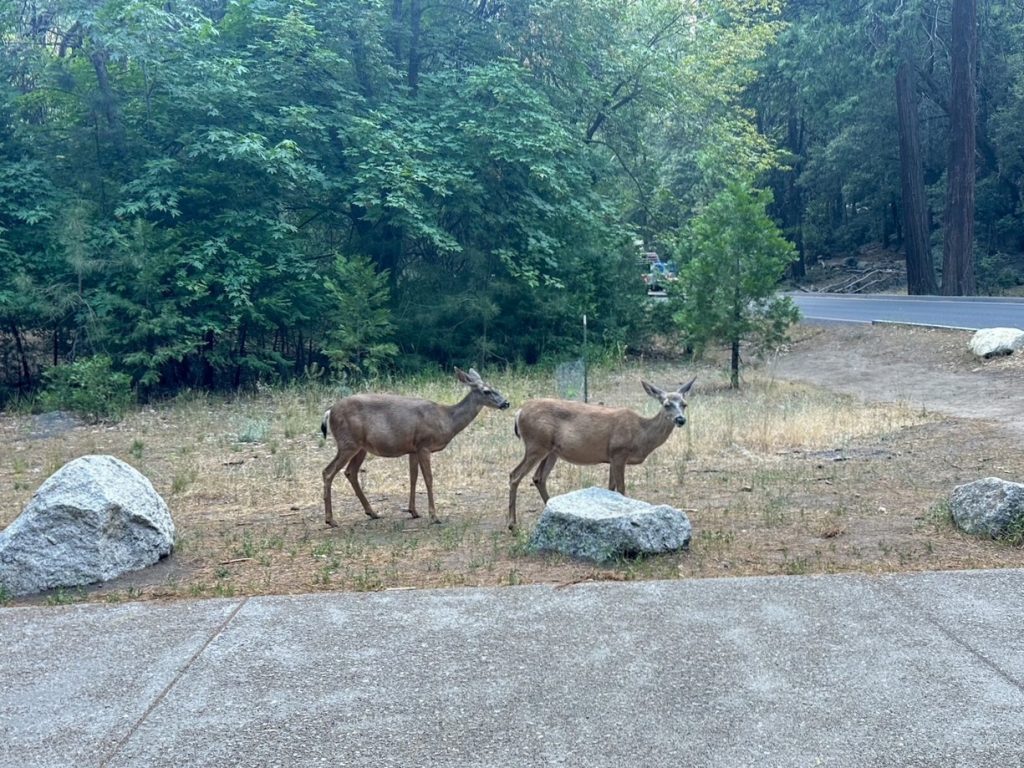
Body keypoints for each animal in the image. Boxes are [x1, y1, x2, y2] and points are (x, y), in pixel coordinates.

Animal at [320, 367, 510, 527]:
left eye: (494, 387)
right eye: (486, 391)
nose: (506, 403)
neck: (447, 420)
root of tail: (329, 411)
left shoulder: (413, 448)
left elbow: (413, 477)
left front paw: (414, 511)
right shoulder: (424, 444)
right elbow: (428, 479)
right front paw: (434, 516)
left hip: (361, 447)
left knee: (350, 472)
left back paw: (372, 512)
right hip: (348, 442)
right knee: (328, 472)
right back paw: (331, 520)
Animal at [507, 377, 696, 531]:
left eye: (684, 404)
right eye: (666, 404)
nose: (680, 419)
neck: (641, 434)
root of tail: (518, 413)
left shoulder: (611, 457)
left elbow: (610, 489)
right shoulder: (619, 452)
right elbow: (621, 489)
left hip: (551, 451)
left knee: (538, 478)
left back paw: (551, 509)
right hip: (536, 444)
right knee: (515, 475)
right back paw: (512, 523)